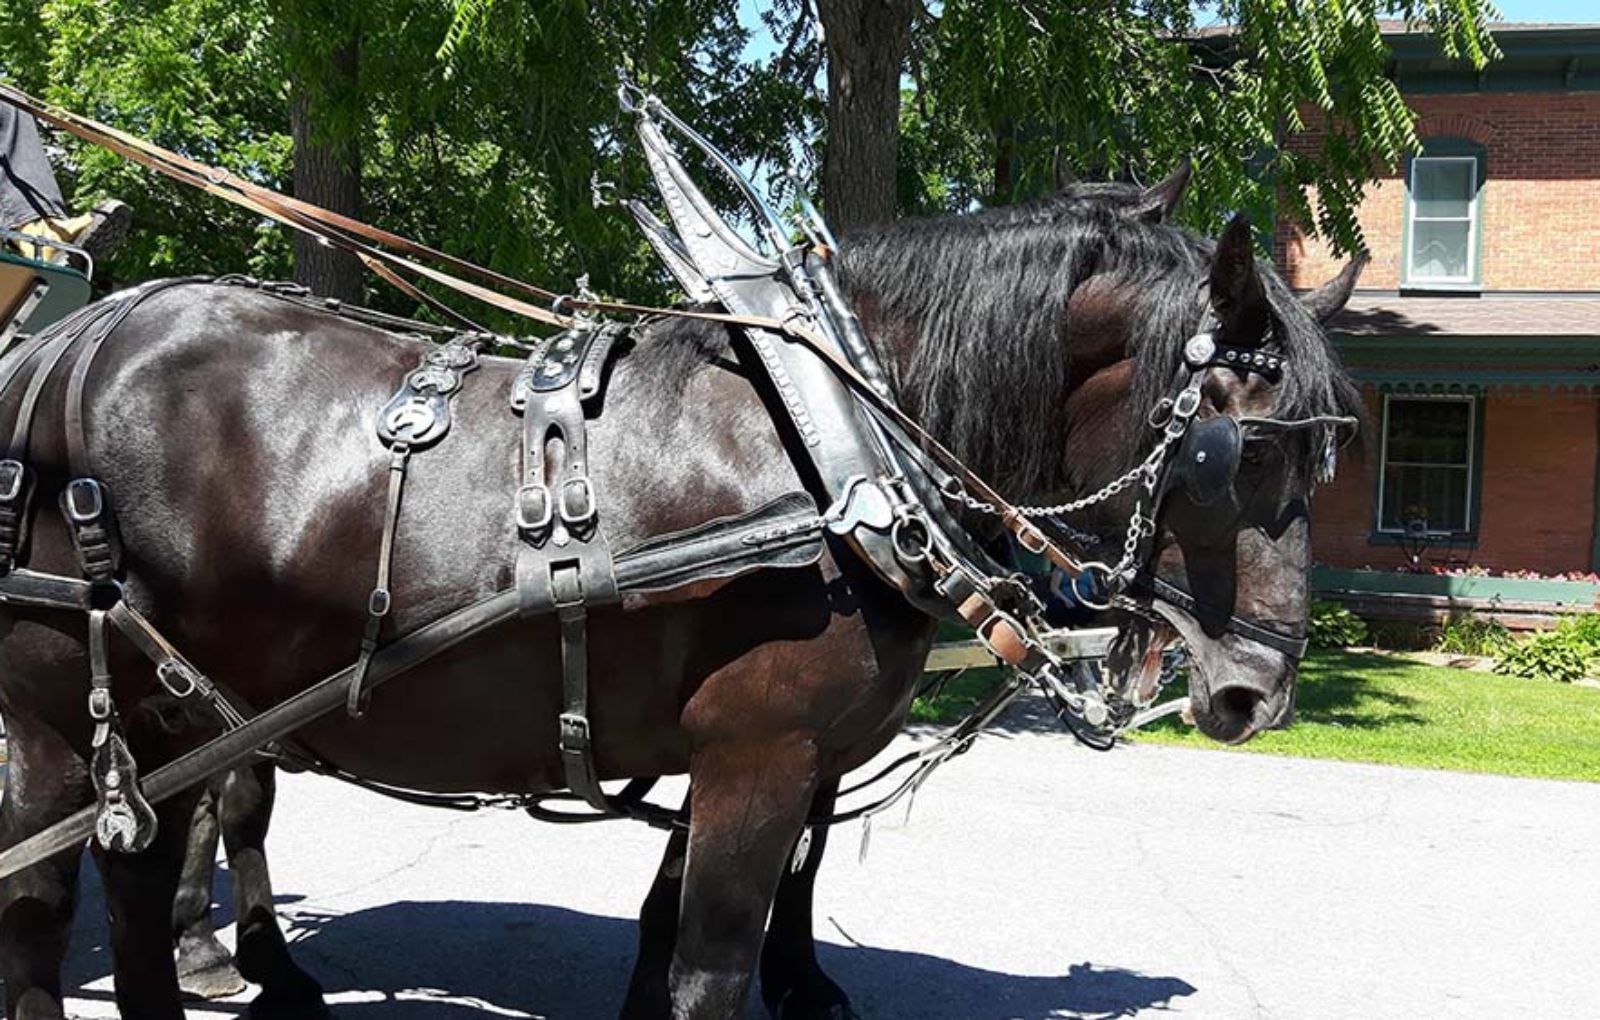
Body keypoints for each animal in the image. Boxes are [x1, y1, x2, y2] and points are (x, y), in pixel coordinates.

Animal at [0, 172, 1361, 1019]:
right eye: (1234, 453)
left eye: (1327, 458)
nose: (1256, 693)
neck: (836, 444)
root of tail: (67, 343)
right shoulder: (762, 749)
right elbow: (712, 960)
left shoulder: (738, 751)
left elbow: (669, 932)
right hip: (61, 716)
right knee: (47, 901)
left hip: (179, 707)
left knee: (147, 875)